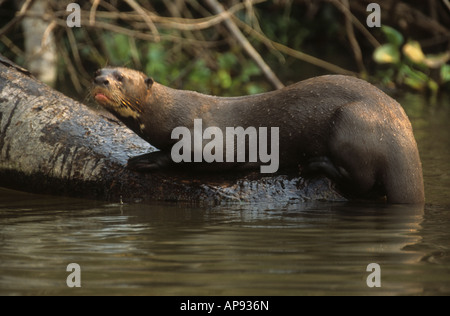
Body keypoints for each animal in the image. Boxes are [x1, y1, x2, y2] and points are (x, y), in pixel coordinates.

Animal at [92, 67, 426, 204]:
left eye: (120, 77)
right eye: (98, 70)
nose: (100, 80)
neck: (173, 112)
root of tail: (402, 135)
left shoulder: (214, 142)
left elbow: (186, 157)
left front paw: (143, 160)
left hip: (350, 123)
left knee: (361, 182)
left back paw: (314, 165)